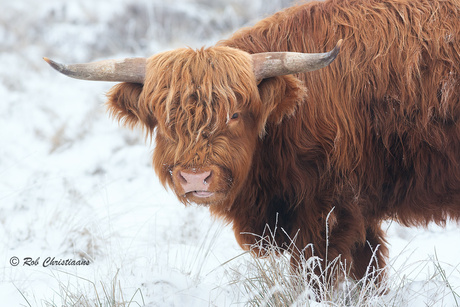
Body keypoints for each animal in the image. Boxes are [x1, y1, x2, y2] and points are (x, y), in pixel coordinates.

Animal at [45, 0, 460, 288]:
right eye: (165, 119)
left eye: (234, 114)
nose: (195, 179)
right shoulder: (357, 213)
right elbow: (369, 273)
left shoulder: (330, 212)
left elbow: (323, 277)